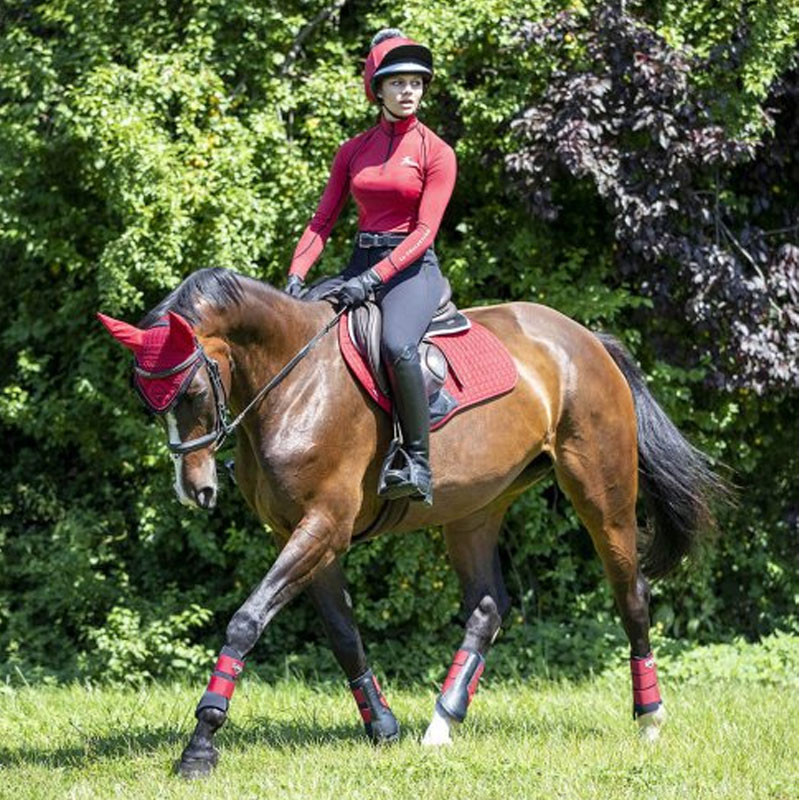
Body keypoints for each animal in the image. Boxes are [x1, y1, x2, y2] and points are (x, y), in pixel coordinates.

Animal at [97, 266, 720, 780]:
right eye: (148, 401)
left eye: (193, 391)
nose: (194, 490)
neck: (294, 381)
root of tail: (588, 339)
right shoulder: (302, 533)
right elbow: (343, 634)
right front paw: (383, 727)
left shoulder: (323, 526)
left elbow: (247, 622)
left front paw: (200, 744)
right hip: (475, 509)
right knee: (489, 607)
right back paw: (441, 724)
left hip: (599, 489)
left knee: (630, 591)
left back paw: (649, 718)